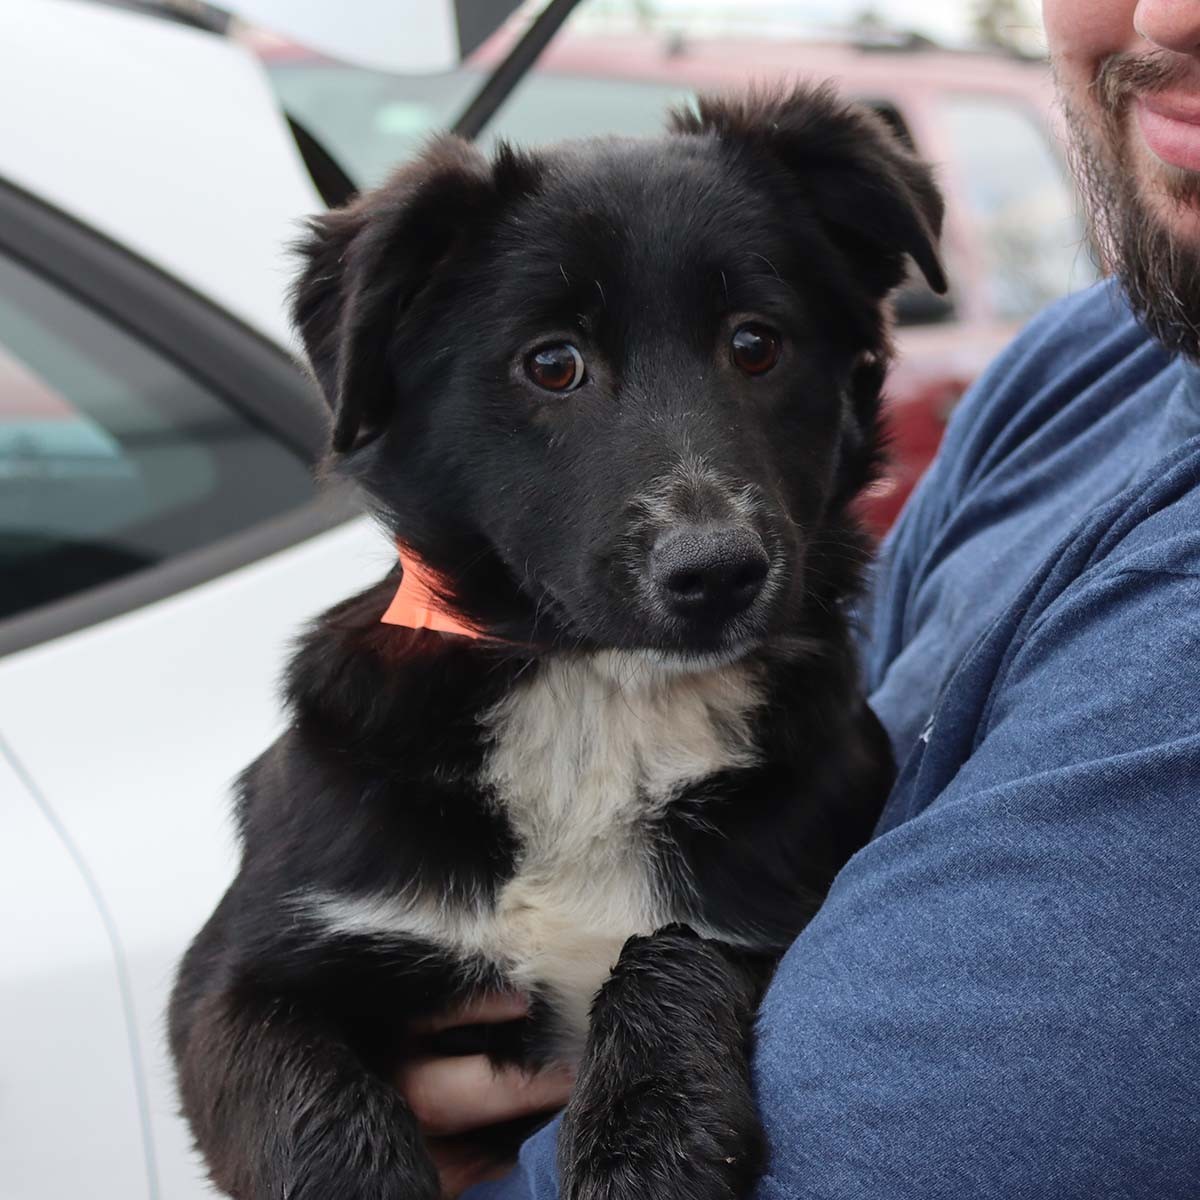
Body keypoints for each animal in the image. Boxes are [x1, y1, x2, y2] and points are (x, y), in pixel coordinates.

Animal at [169, 85, 943, 1200]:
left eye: (757, 343)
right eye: (552, 364)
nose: (716, 572)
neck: (602, 695)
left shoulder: (778, 906)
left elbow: (668, 957)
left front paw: (648, 1143)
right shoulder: (240, 977)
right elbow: (319, 1118)